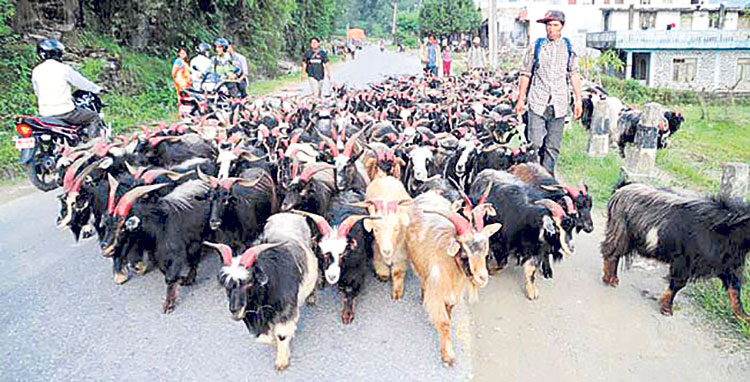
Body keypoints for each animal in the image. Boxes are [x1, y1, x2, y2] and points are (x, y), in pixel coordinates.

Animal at [406, 191, 500, 368]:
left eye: (485, 249)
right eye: (465, 251)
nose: (482, 277)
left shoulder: (453, 292)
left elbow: (449, 313)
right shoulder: (436, 290)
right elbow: (444, 323)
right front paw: (448, 357)